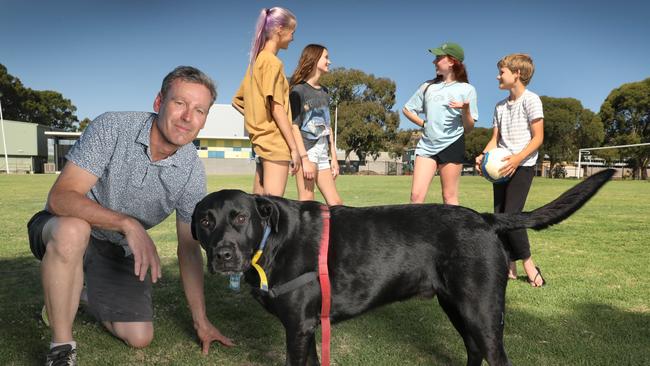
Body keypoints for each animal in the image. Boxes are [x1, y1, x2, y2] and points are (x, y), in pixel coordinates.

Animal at [191, 169, 612, 366]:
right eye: (206, 221)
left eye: (240, 217)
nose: (223, 255)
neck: (272, 241)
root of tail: (485, 218)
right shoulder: (309, 328)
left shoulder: (298, 327)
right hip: (457, 306)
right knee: (474, 351)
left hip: (481, 310)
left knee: (494, 355)